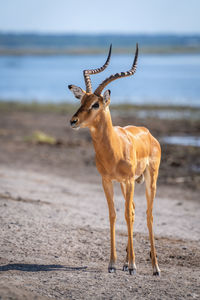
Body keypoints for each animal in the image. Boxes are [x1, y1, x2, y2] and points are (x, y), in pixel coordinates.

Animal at [68, 44, 161, 276]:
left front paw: (134, 265)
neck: (114, 149)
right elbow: (113, 215)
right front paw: (113, 263)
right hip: (126, 184)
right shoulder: (107, 181)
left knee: (148, 215)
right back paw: (127, 262)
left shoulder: (128, 180)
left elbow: (127, 215)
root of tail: (148, 134)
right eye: (81, 100)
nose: (73, 121)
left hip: (149, 180)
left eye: (96, 104)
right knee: (135, 210)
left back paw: (154, 267)